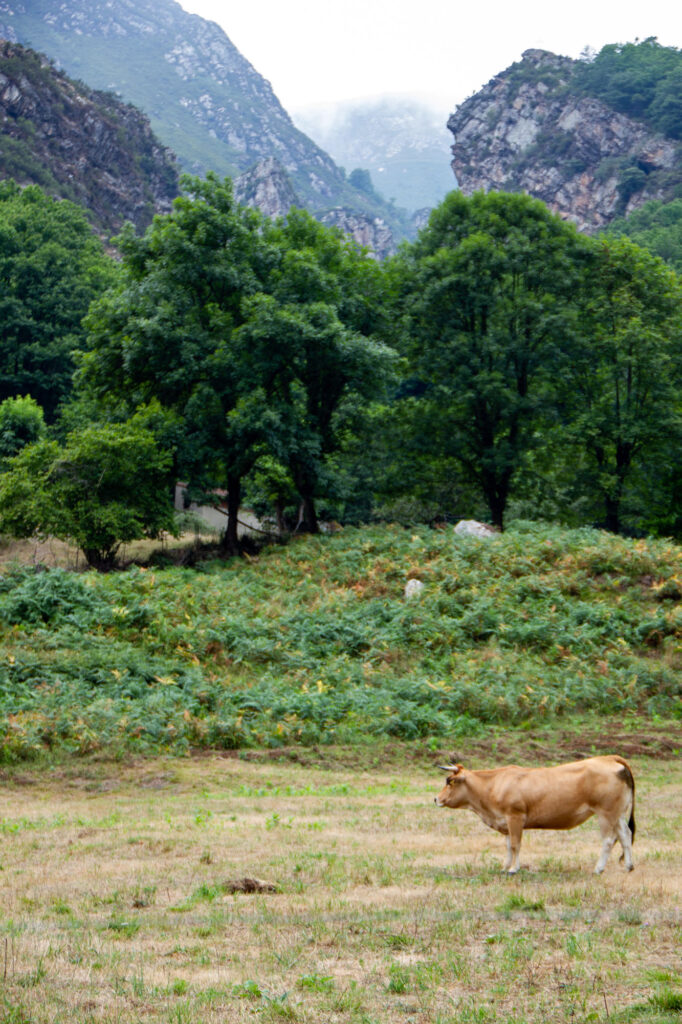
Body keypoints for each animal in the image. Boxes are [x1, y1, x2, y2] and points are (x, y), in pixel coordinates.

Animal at [432, 757, 634, 876]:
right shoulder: (505, 822)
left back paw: (598, 868)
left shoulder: (515, 817)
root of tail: (610, 758)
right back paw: (629, 866)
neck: (495, 783)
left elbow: (515, 845)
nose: (436, 798)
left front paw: (514, 868)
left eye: (450, 781)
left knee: (608, 840)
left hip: (606, 813)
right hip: (618, 814)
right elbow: (508, 846)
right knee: (626, 835)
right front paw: (505, 866)